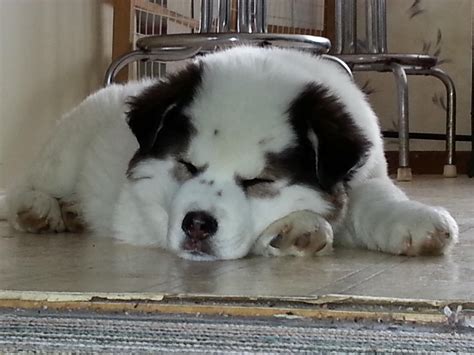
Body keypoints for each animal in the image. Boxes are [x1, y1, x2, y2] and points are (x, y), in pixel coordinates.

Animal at [1, 46, 458, 260]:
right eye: (186, 165)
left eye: (260, 181)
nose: (197, 225)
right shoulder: (140, 210)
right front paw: (298, 227)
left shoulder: (365, 170)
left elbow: (377, 196)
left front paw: (418, 222)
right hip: (66, 150)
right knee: (27, 185)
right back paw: (40, 208)